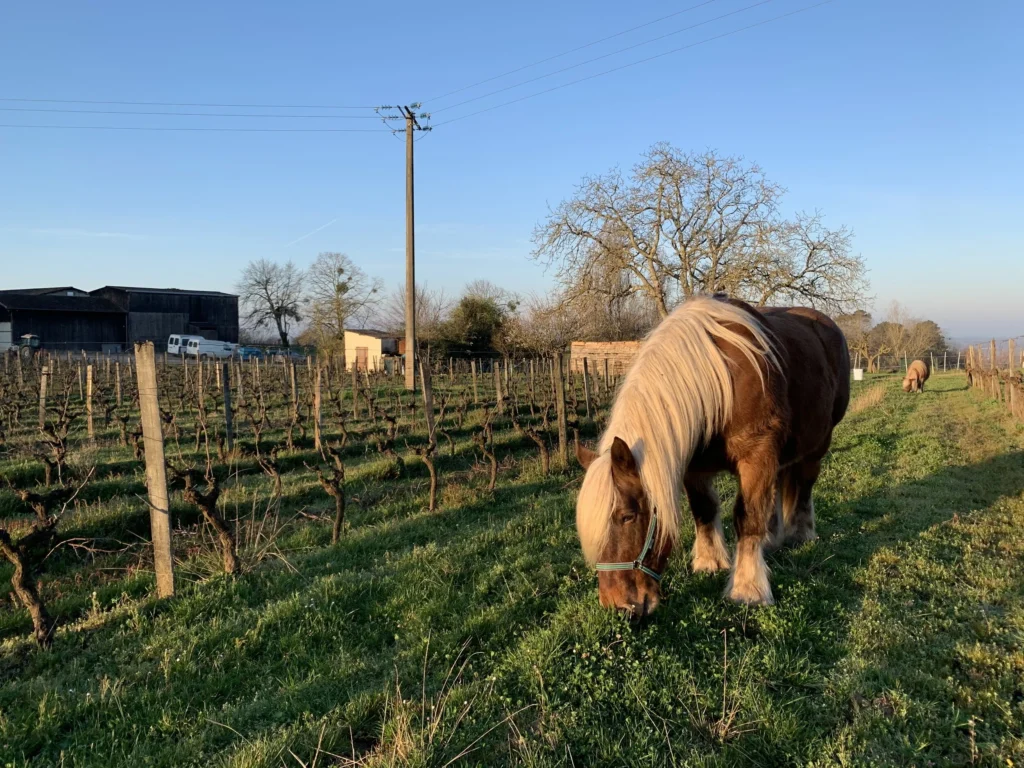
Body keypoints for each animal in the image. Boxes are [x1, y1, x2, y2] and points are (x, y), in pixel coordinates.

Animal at [574, 296, 849, 616]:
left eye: (627, 516)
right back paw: (771, 539)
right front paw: (709, 562)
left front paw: (748, 589)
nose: (617, 605)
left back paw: (800, 534)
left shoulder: (757, 456)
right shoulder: (695, 468)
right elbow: (704, 511)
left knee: (804, 485)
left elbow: (748, 517)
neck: (721, 385)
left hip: (817, 446)